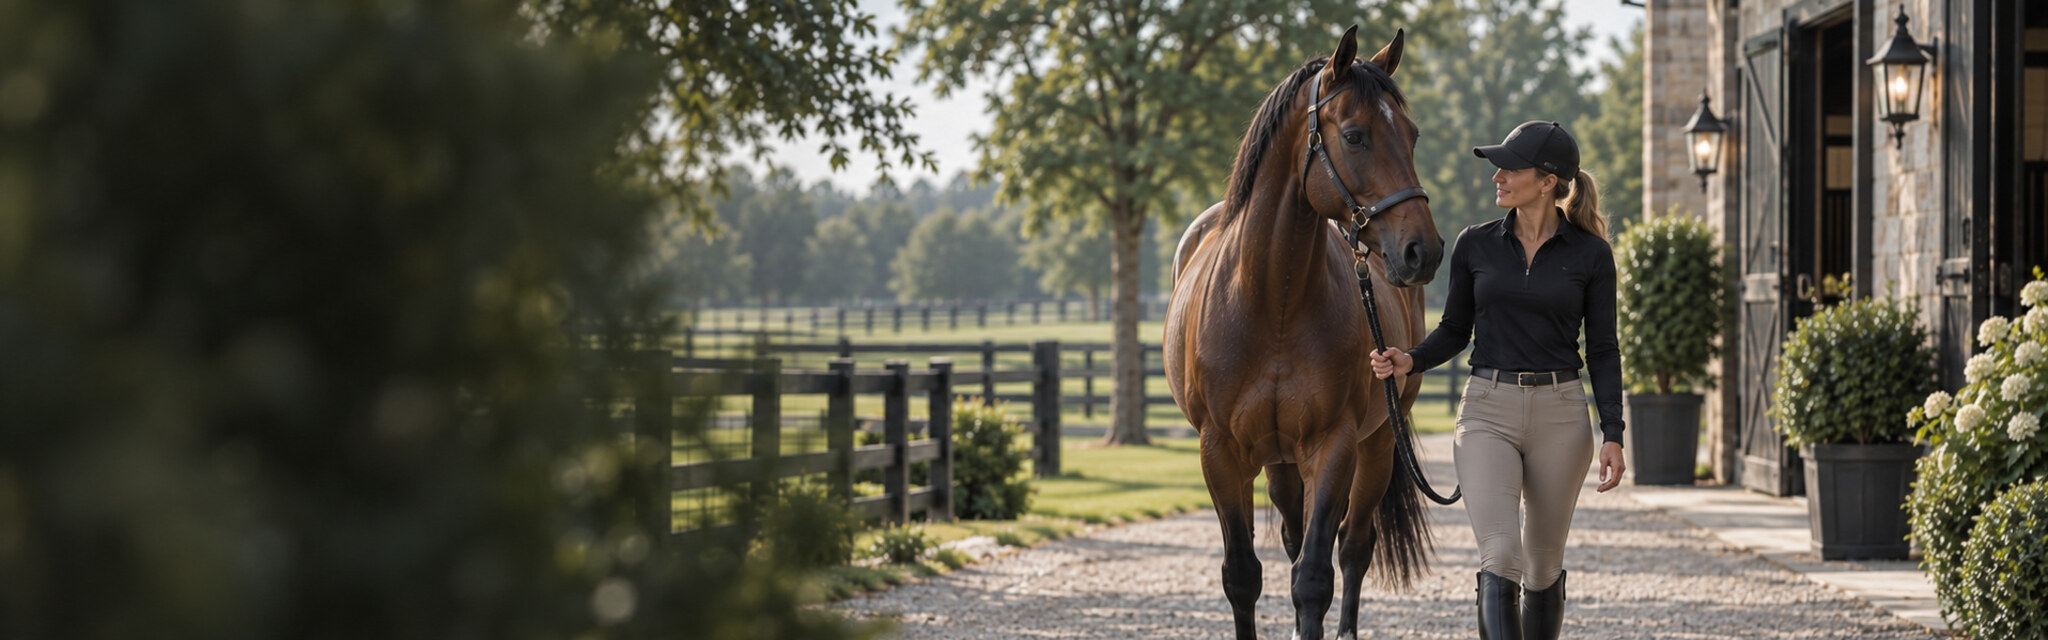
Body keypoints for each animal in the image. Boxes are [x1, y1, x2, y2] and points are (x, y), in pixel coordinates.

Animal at [1164, 26, 1445, 640]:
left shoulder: (1333, 445)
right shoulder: (1220, 453)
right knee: (1293, 539)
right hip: (1277, 459)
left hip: (1376, 445)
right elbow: (1242, 574)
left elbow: (1315, 575)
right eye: (1356, 136)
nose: (1423, 251)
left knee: (1354, 547)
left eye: (1411, 135)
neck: (1273, 303)